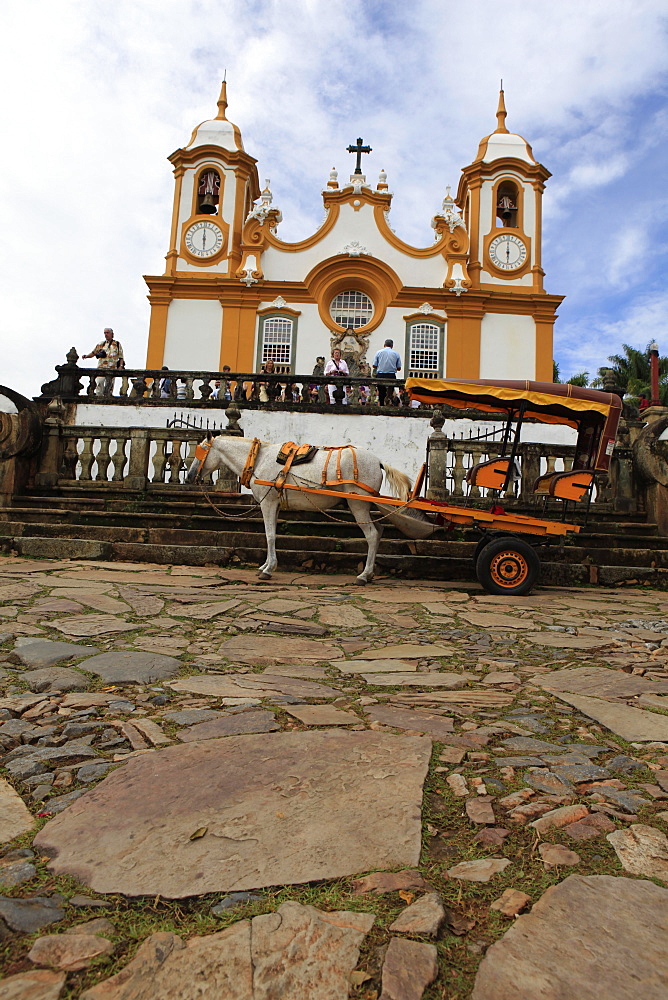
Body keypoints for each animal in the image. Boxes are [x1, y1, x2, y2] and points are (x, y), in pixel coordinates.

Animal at [185, 432, 410, 584]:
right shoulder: (274, 503)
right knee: (379, 531)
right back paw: (370, 574)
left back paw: (363, 575)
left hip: (358, 504)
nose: (189, 476)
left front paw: (268, 570)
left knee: (372, 534)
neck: (258, 460)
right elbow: (272, 534)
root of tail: (378, 461)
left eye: (201, 451)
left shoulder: (267, 503)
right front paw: (265, 565)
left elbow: (269, 536)